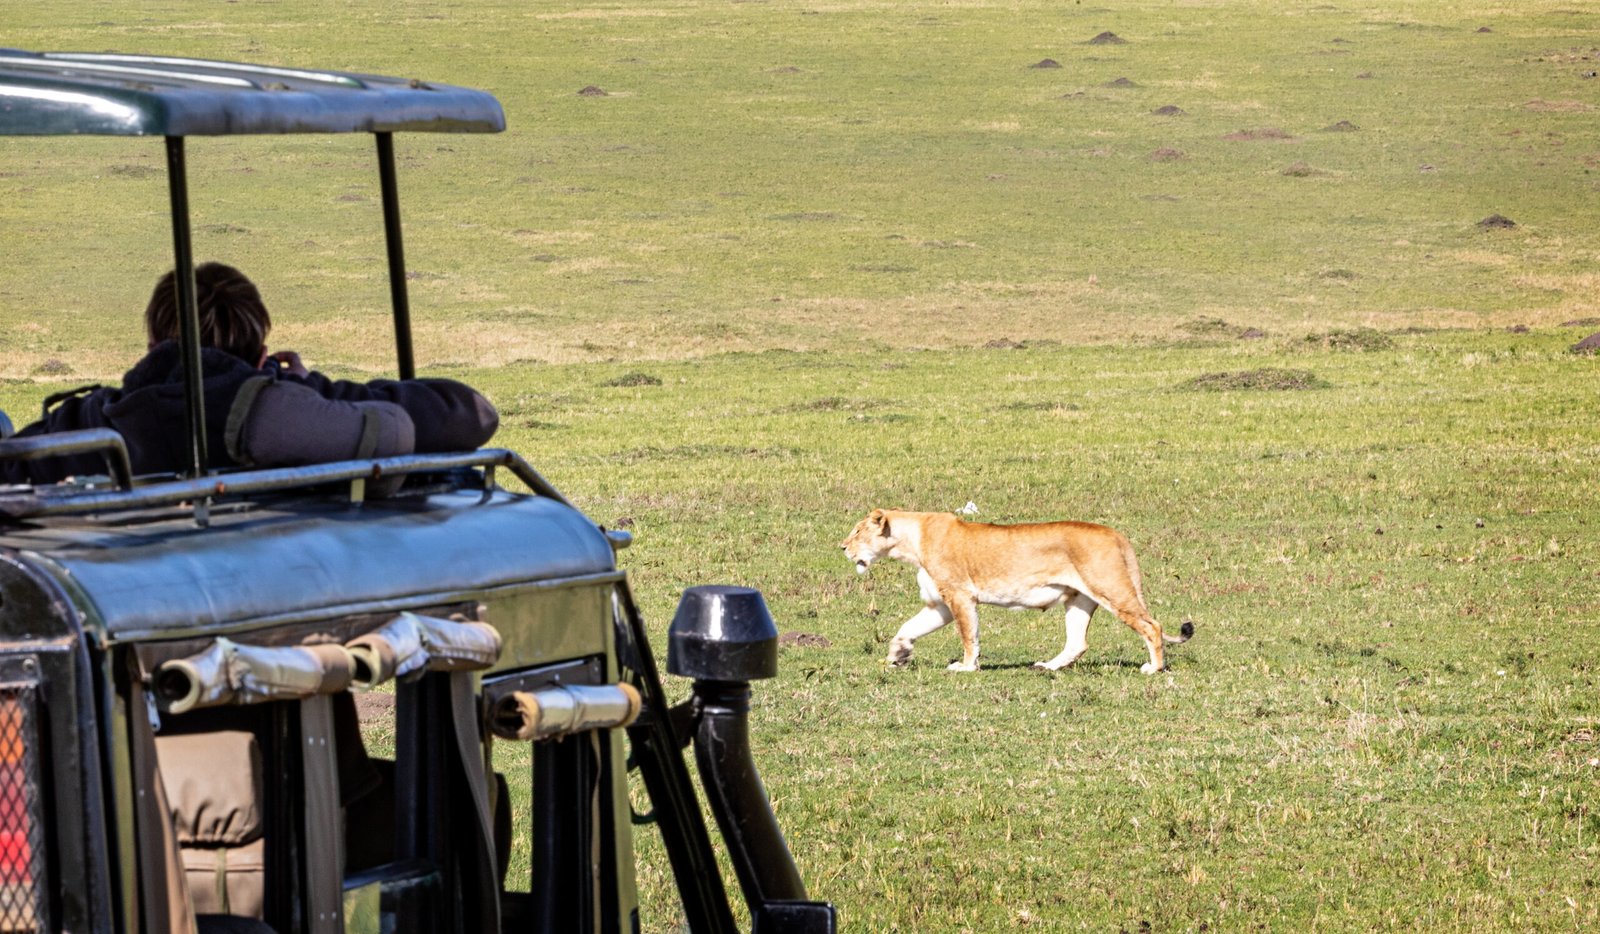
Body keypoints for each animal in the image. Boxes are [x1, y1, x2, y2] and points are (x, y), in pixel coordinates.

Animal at [841, 509, 1193, 674]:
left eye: (857, 531)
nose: (842, 547)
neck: (911, 542)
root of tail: (1116, 534)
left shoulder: (959, 595)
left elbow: (968, 636)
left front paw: (966, 667)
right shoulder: (940, 603)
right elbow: (907, 628)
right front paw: (898, 655)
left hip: (1110, 588)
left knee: (1152, 626)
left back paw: (1153, 668)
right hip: (1079, 600)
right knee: (1077, 642)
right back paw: (1047, 666)